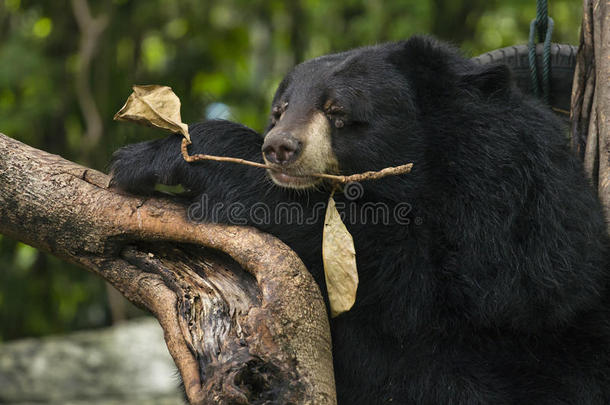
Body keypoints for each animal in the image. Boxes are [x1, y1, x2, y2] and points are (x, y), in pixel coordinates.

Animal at [110, 36, 608, 402]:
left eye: (338, 111)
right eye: (280, 110)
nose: (278, 147)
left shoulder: (512, 200)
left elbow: (443, 283)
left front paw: (170, 156)